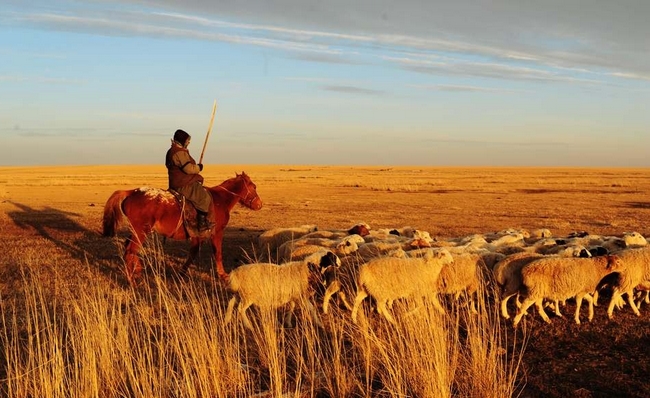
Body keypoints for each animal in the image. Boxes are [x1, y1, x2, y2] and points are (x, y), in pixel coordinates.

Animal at [101, 173, 260, 284]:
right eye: (253, 186)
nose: (259, 204)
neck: (220, 199)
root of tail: (131, 192)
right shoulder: (217, 232)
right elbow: (218, 253)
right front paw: (223, 275)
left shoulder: (197, 235)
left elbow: (193, 254)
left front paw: (180, 274)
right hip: (141, 231)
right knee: (130, 250)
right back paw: (133, 281)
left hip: (135, 231)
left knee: (128, 248)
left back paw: (137, 271)